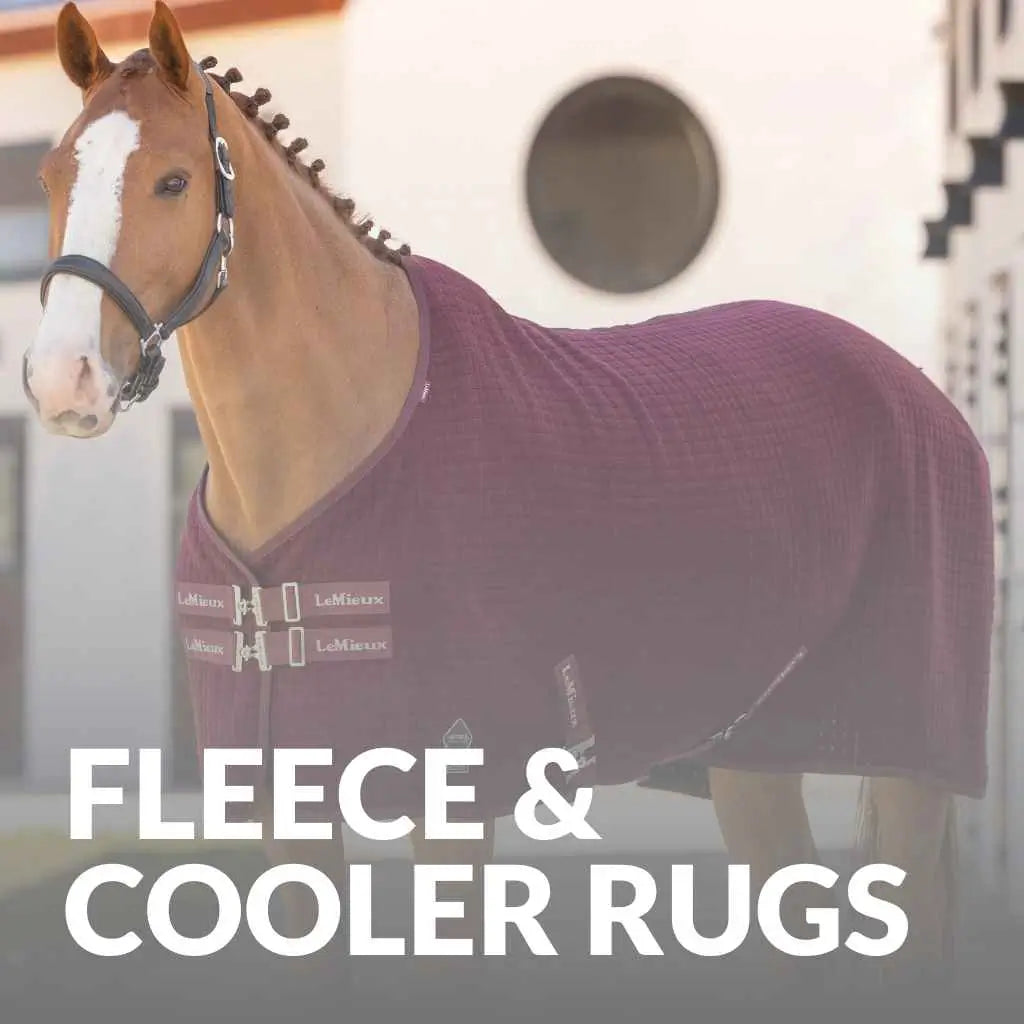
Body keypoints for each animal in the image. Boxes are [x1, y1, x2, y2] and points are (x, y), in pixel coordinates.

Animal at [23, 1, 994, 980]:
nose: (63, 378)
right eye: (52, 174)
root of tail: (918, 390)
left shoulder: (450, 801)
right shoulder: (287, 811)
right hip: (754, 762)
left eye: (173, 181)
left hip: (909, 767)